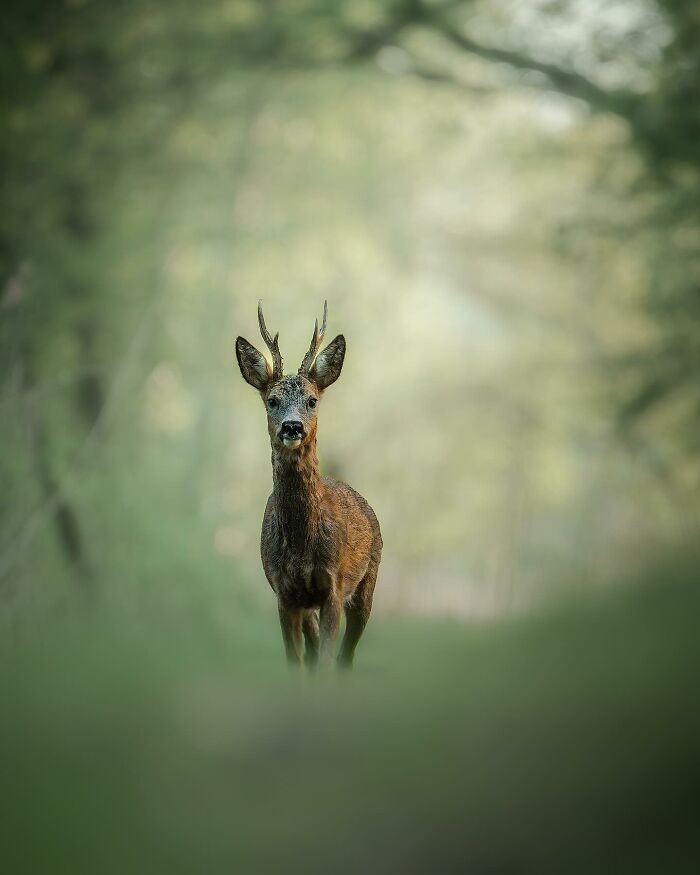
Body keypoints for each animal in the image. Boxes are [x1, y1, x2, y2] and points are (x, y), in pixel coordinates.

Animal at [235, 302, 382, 672]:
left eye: (312, 400)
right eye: (272, 400)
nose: (292, 426)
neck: (302, 548)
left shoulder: (334, 587)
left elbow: (327, 662)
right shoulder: (284, 594)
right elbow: (297, 663)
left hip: (368, 581)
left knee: (346, 657)